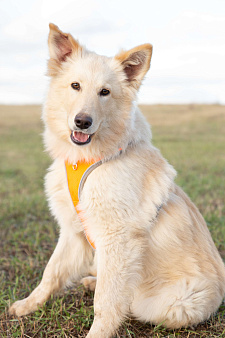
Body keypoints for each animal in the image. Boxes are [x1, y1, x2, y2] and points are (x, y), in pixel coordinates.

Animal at [8, 24, 225, 338]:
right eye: (75, 86)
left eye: (105, 92)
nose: (82, 122)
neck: (90, 159)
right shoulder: (74, 230)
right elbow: (51, 273)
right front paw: (27, 305)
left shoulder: (117, 238)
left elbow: (106, 302)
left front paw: (97, 332)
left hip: (175, 304)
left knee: (129, 300)